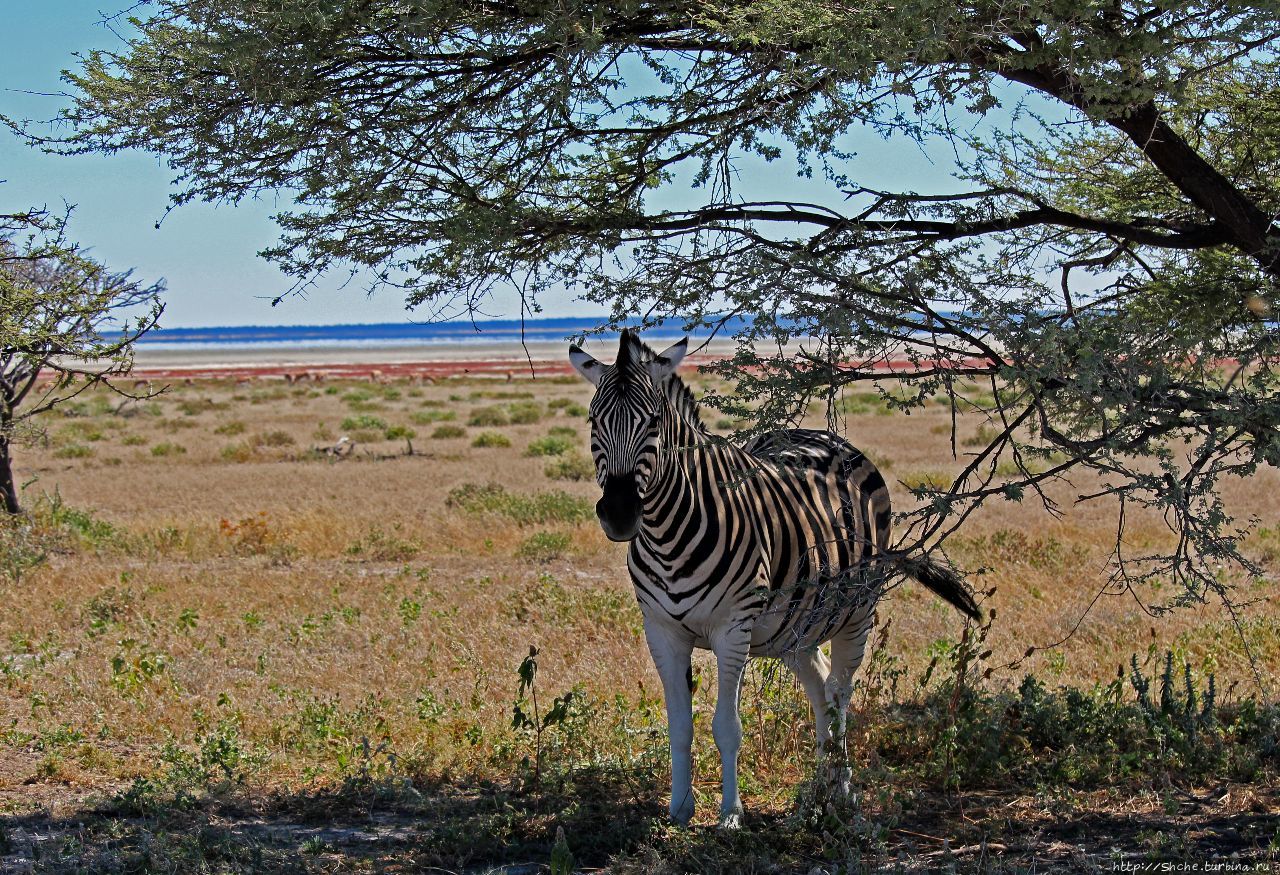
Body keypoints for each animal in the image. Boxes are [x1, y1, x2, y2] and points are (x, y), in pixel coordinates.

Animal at [570, 327, 977, 828]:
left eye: (653, 423)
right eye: (594, 421)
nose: (620, 514)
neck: (668, 533)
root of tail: (826, 437)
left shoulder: (733, 628)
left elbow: (726, 726)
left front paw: (730, 815)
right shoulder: (661, 631)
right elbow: (679, 725)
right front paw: (680, 810)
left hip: (858, 609)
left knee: (840, 694)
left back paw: (842, 793)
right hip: (796, 627)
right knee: (821, 690)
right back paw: (818, 790)